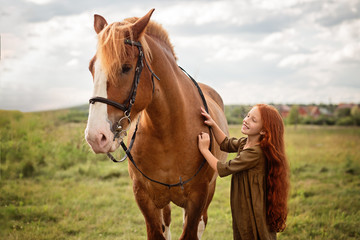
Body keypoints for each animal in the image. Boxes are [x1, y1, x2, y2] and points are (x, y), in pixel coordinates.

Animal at [85, 8, 228, 239]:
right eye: (91, 68)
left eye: (126, 68)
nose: (96, 137)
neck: (168, 131)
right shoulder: (145, 198)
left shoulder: (198, 197)